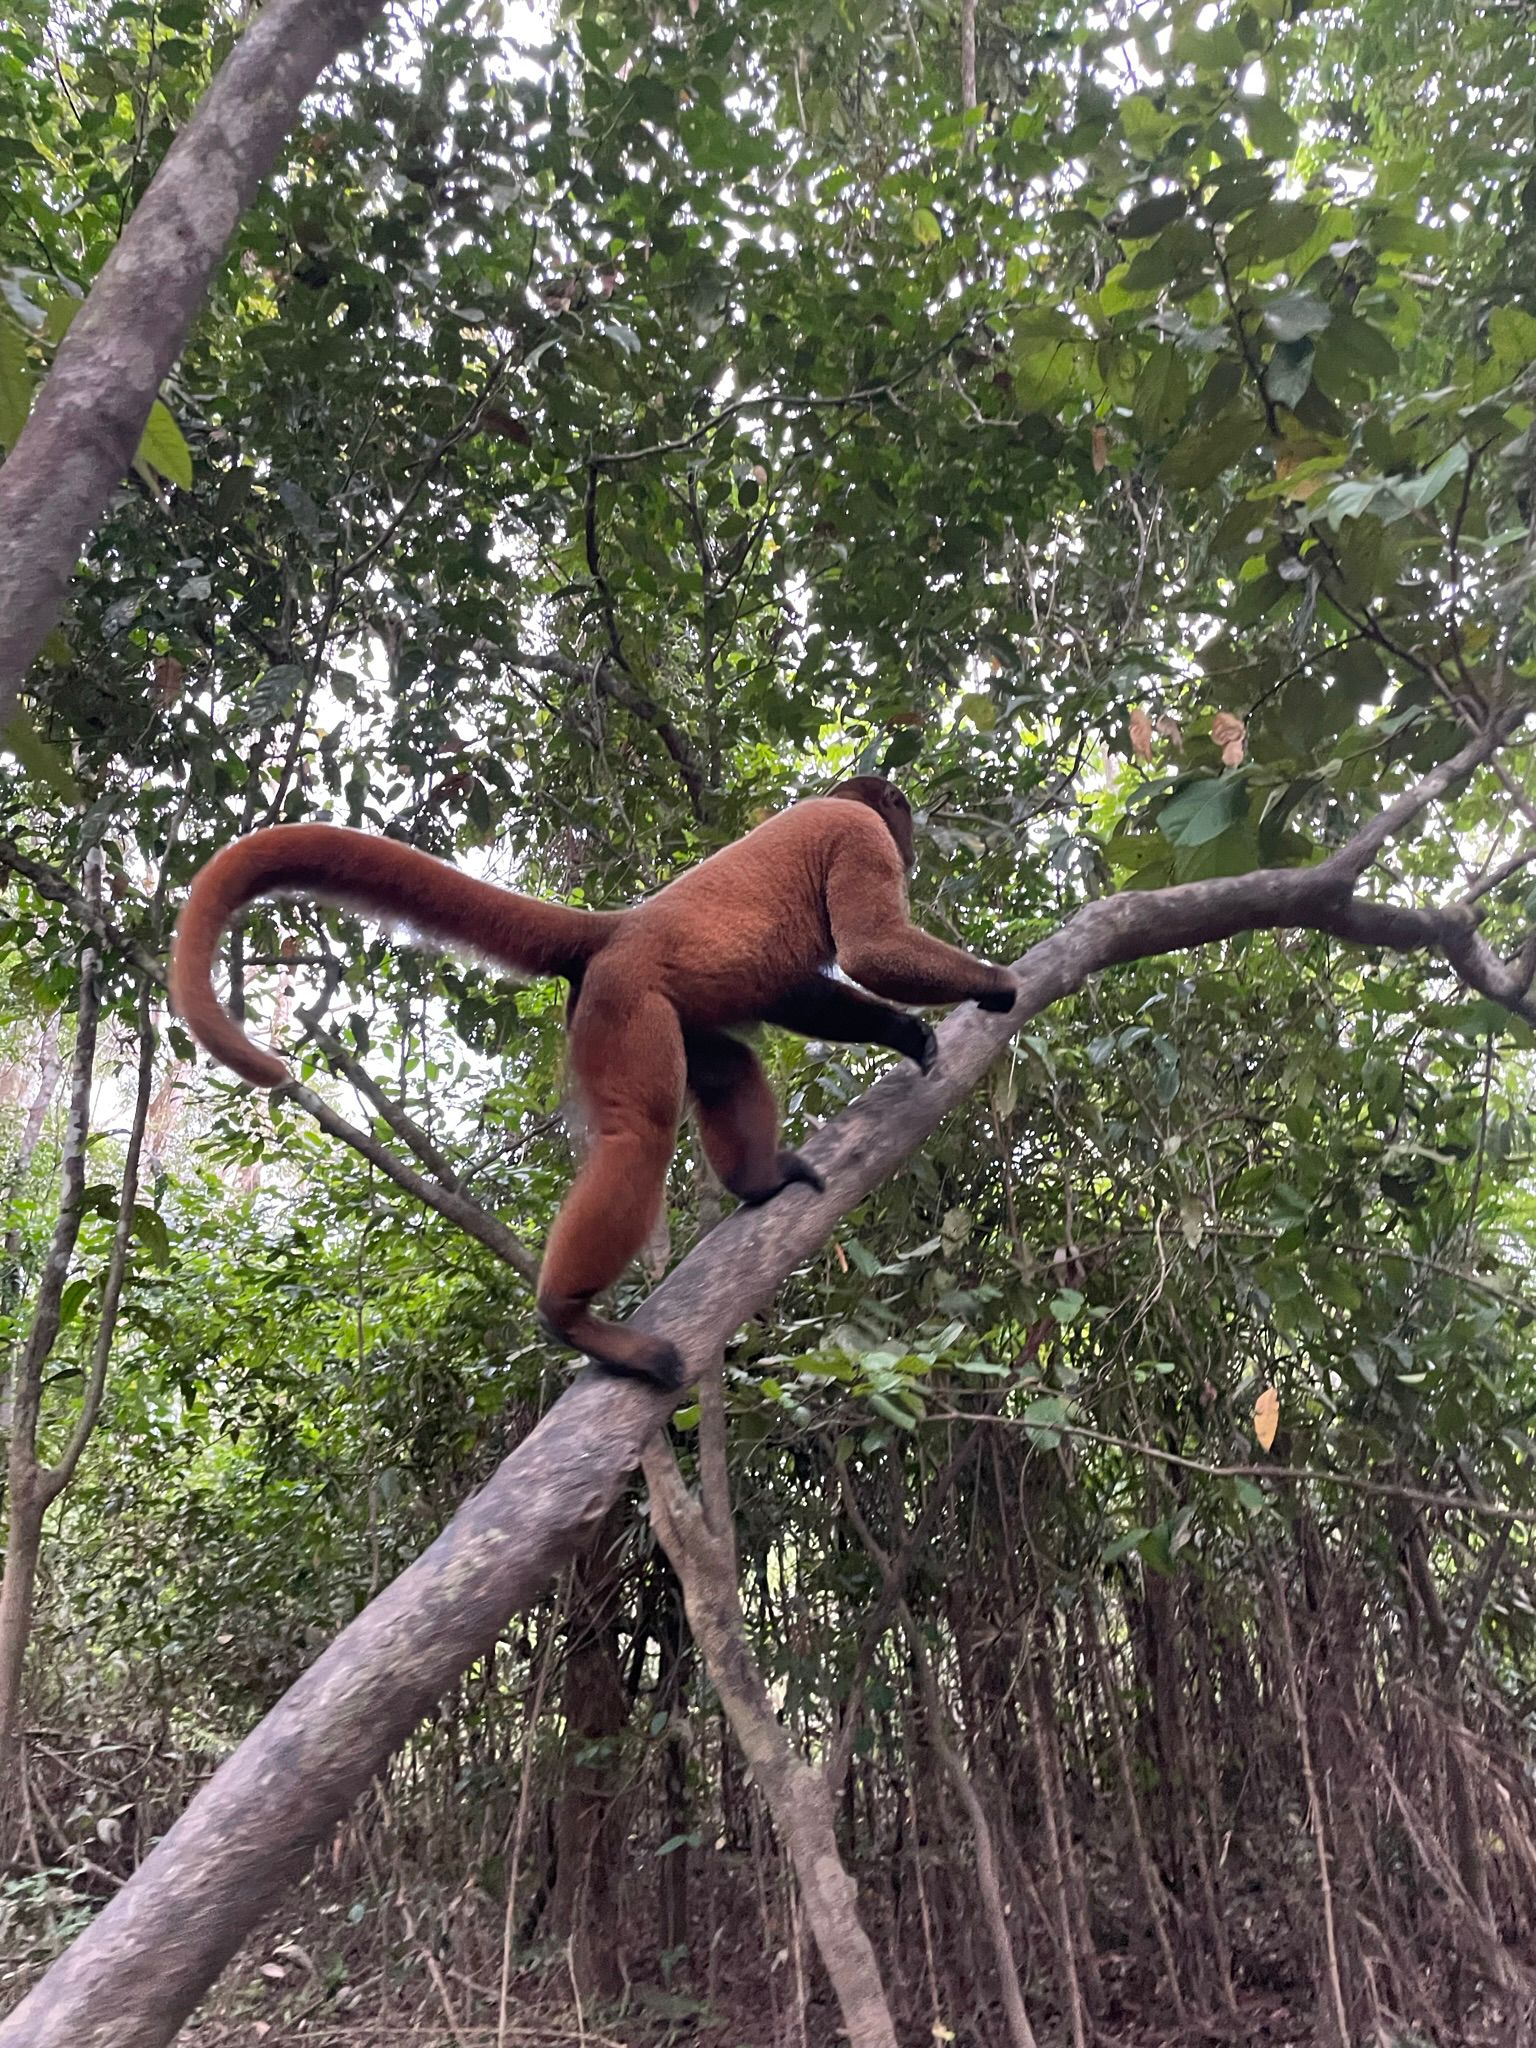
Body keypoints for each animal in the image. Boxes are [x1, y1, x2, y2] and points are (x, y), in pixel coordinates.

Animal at [171, 776, 1019, 1389]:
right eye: (900, 823)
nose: (916, 848)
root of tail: (616, 928)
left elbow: (795, 992)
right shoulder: (858, 837)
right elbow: (871, 948)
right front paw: (987, 990)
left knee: (728, 1067)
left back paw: (756, 1181)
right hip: (625, 1007)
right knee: (639, 1136)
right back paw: (571, 1319)